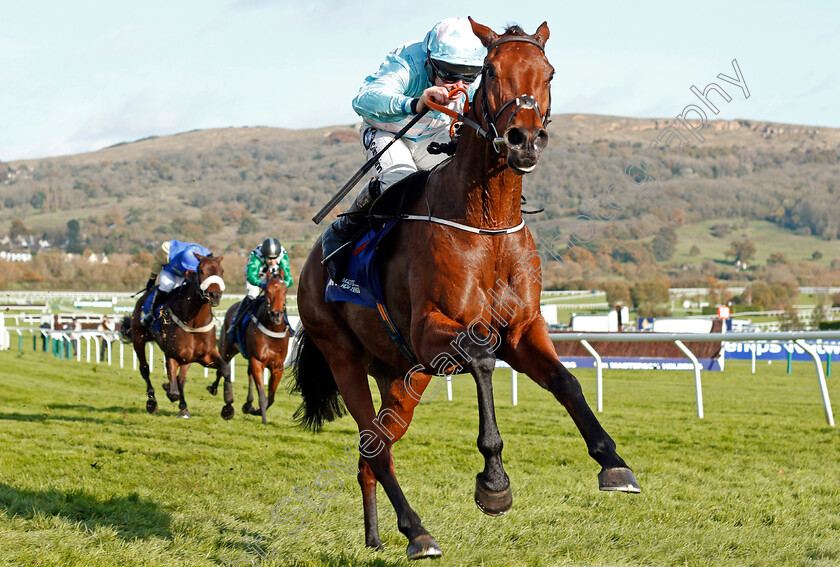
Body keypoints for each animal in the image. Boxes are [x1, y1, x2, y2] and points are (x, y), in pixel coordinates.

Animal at [120, 255, 233, 420]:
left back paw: (182, 406)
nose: (215, 295)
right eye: (201, 271)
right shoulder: (172, 354)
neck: (194, 322)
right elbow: (173, 389)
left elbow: (225, 369)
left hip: (187, 358)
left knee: (181, 379)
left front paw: (228, 406)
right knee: (145, 369)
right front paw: (169, 390)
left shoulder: (204, 355)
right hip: (139, 338)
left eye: (222, 271)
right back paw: (152, 402)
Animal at [213, 272, 292, 426]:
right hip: (227, 348)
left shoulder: (277, 367)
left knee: (248, 374)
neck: (272, 330)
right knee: (221, 369)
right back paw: (222, 400)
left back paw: (248, 404)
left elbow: (271, 398)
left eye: (285, 291)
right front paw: (263, 418)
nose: (276, 315)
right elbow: (262, 395)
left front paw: (255, 410)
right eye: (267, 291)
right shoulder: (258, 361)